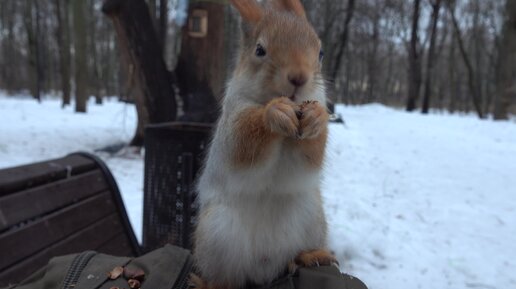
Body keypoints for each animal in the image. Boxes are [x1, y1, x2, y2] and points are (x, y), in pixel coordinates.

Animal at [191, 1, 336, 286]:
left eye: (321, 52)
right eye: (260, 50)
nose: (299, 77)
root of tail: (263, 268)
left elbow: (310, 157)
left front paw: (317, 118)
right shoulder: (232, 122)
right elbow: (243, 141)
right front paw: (274, 113)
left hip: (312, 218)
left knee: (293, 256)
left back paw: (310, 256)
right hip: (217, 234)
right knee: (224, 280)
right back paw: (208, 283)